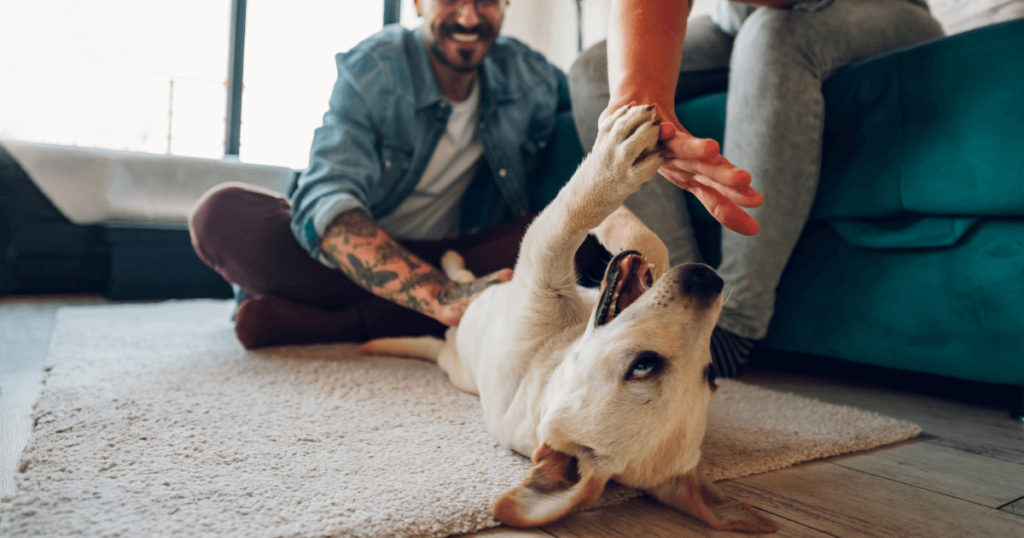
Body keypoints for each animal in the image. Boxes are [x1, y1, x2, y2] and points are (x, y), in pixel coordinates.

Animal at [362, 102, 774, 528]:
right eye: (713, 377)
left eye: (642, 367)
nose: (709, 279)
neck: (556, 356)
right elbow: (647, 241)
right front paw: (624, 200)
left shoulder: (540, 265)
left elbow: (570, 213)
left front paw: (615, 160)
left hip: (458, 359)